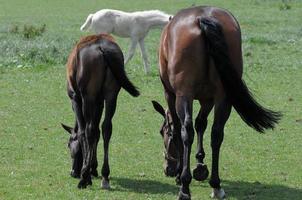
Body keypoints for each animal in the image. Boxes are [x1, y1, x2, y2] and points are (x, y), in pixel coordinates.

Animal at [61, 33, 142, 188]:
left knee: (89, 130)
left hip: (88, 95)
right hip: (111, 94)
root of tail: (102, 49)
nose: (73, 172)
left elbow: (83, 132)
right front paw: (94, 168)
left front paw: (87, 171)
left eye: (68, 144)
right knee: (106, 128)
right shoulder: (99, 102)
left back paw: (84, 178)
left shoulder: (75, 98)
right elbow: (98, 132)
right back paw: (105, 175)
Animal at [152, 6, 282, 200]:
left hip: (184, 95)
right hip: (224, 97)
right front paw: (200, 164)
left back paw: (185, 186)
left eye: (162, 132)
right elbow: (201, 123)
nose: (168, 169)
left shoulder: (171, 94)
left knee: (187, 131)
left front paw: (181, 174)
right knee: (217, 133)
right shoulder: (208, 99)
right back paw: (216, 185)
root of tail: (203, 17)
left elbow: (179, 130)